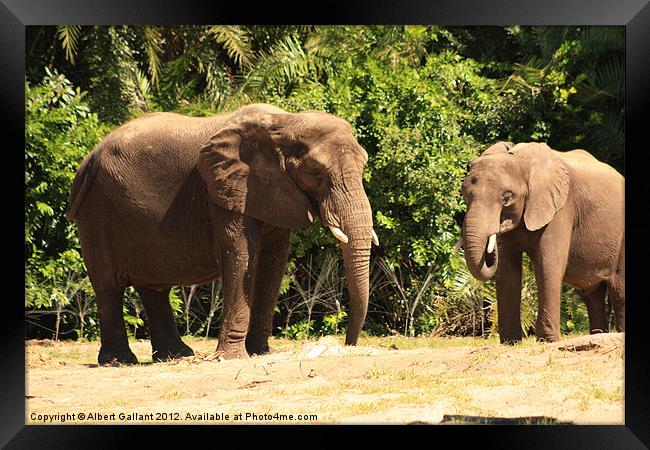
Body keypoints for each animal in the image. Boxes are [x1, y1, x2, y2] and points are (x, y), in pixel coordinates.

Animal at [66, 103, 378, 364]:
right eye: (315, 173)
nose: (347, 344)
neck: (285, 122)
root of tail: (88, 159)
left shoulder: (273, 191)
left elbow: (273, 263)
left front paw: (259, 352)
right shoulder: (225, 188)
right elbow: (241, 256)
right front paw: (232, 357)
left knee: (153, 287)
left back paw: (175, 356)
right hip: (97, 210)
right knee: (108, 285)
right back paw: (119, 361)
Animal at [456, 142, 624, 342]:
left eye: (507, 197)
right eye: (464, 194)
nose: (496, 230)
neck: (521, 161)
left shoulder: (560, 209)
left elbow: (547, 264)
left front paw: (548, 340)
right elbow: (507, 271)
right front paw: (511, 342)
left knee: (619, 289)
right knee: (591, 295)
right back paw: (598, 335)